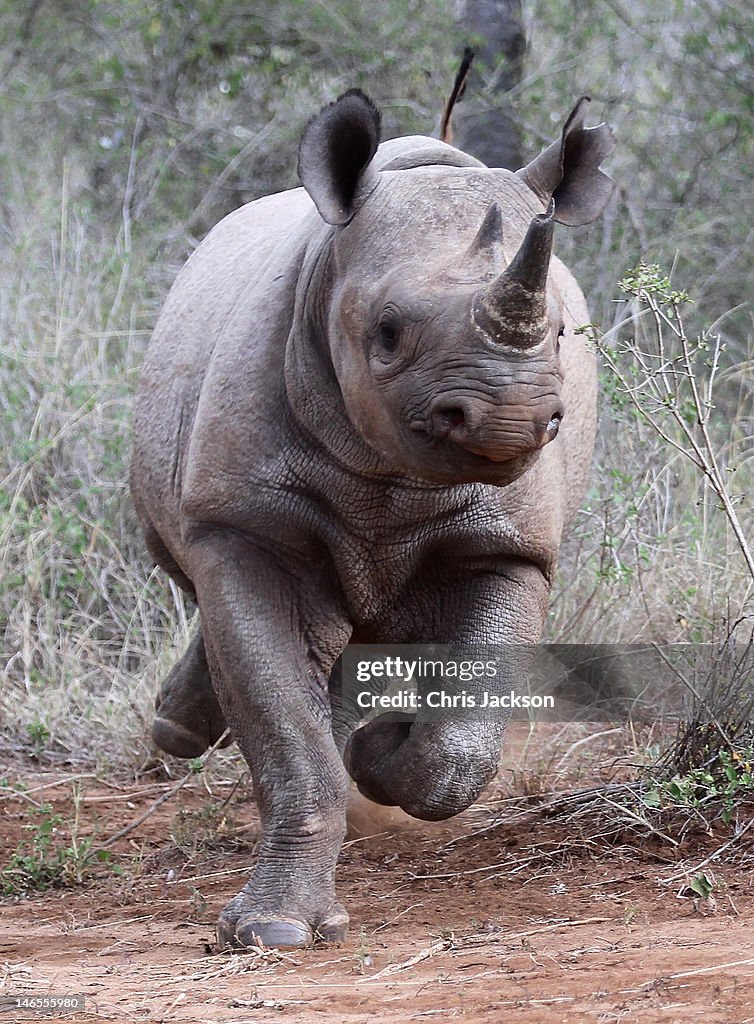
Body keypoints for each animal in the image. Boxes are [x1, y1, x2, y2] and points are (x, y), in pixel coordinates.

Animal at [130, 89, 614, 949]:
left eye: (559, 333)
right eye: (387, 331)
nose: (511, 419)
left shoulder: (508, 547)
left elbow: (459, 746)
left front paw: (381, 750)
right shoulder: (243, 524)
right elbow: (281, 718)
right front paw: (275, 932)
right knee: (186, 563)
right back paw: (179, 731)